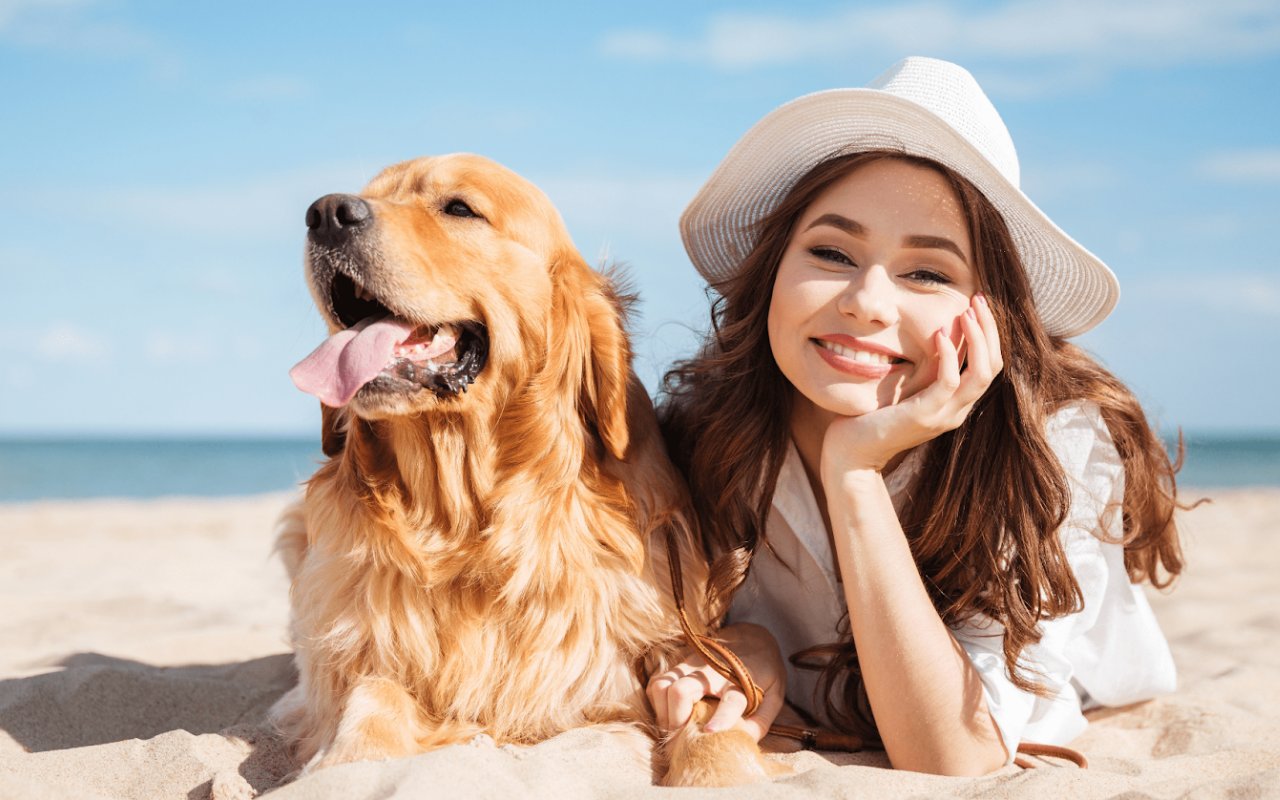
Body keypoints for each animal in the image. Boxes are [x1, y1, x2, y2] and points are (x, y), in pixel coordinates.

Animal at [273, 151, 773, 788]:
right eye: (368, 193)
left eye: (459, 208)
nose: (326, 213)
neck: (466, 521)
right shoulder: (358, 659)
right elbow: (371, 698)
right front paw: (346, 766)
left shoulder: (672, 647)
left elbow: (713, 715)